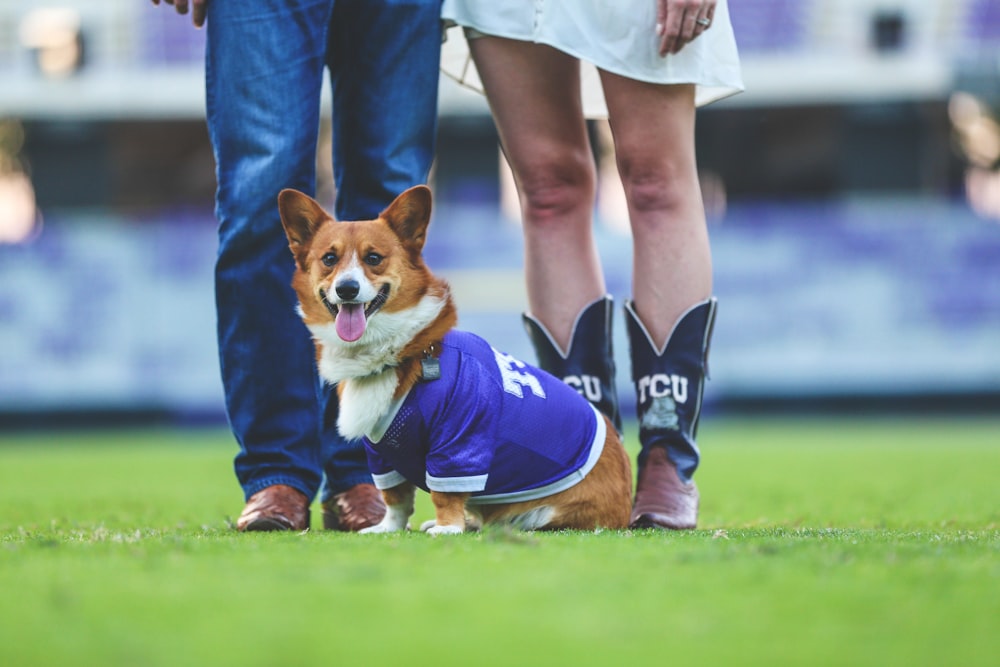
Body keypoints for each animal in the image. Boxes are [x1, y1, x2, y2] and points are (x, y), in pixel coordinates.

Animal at [278, 185, 628, 536]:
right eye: (329, 259)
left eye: (373, 258)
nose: (347, 289)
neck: (401, 351)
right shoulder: (380, 453)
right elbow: (394, 498)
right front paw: (387, 528)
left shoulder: (459, 441)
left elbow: (444, 493)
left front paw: (448, 527)